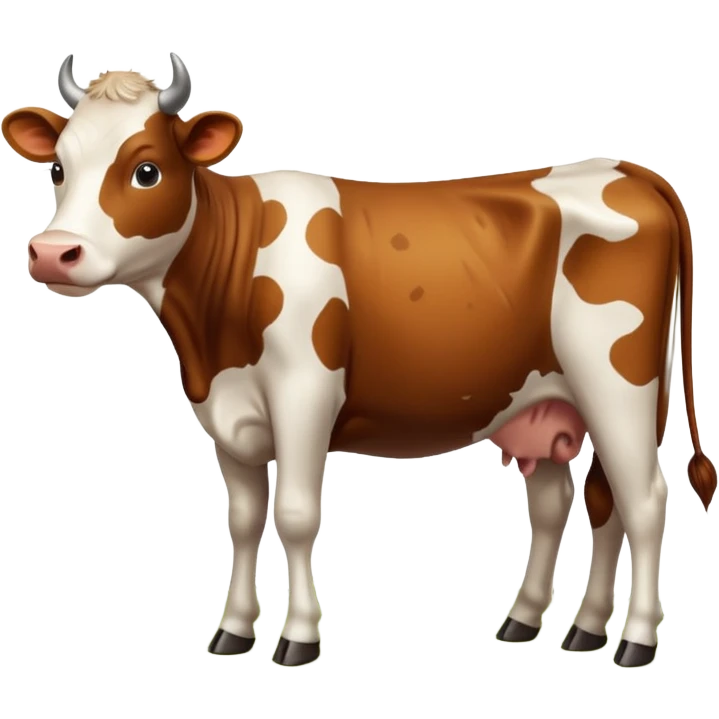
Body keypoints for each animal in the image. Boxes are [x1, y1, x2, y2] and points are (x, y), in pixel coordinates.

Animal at [3, 53, 716, 670]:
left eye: (146, 169)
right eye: (58, 169)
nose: (53, 253)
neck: (211, 333)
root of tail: (624, 169)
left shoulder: (304, 396)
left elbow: (294, 516)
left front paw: (297, 638)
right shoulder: (227, 416)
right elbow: (243, 520)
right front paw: (233, 632)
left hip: (619, 387)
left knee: (643, 500)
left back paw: (635, 641)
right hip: (545, 403)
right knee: (573, 501)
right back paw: (553, 624)